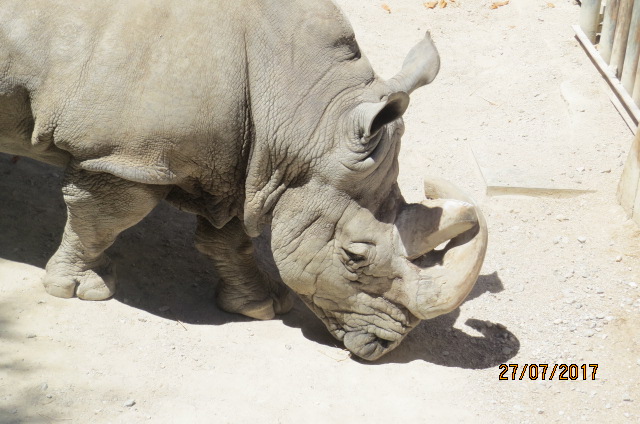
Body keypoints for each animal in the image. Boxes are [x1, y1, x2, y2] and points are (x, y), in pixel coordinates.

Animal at [0, 0, 487, 360]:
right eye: (354, 257)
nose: (385, 348)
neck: (305, 114)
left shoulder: (245, 164)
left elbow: (230, 239)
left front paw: (261, 305)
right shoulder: (122, 157)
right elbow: (102, 221)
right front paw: (82, 289)